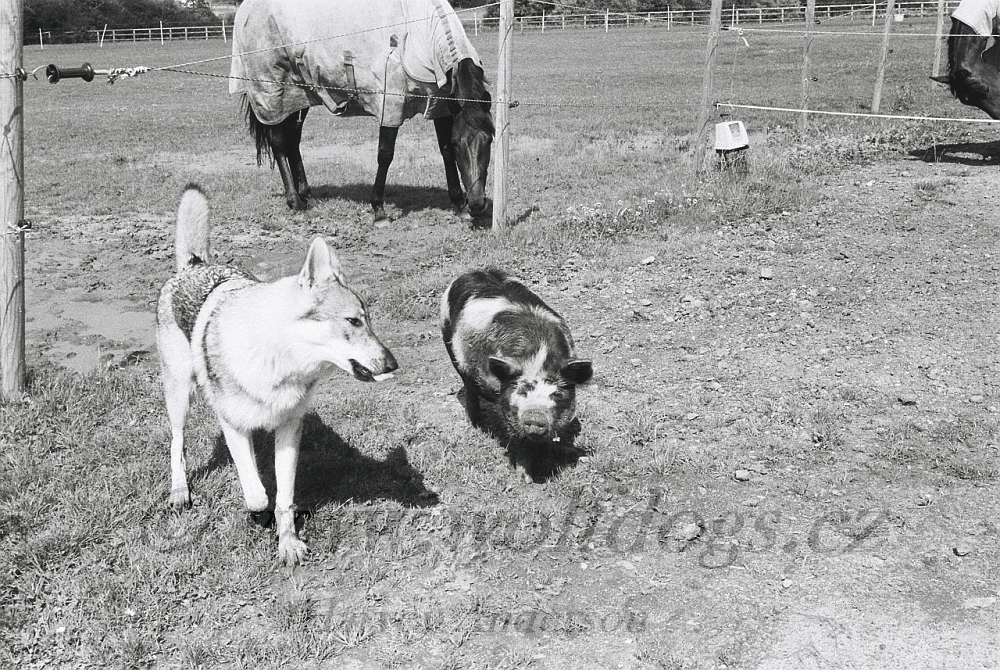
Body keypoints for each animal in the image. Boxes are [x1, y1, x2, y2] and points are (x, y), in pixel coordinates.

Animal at [229, 0, 488, 219]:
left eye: (489, 141)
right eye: (460, 145)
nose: (477, 204)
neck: (419, 34)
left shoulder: (439, 105)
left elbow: (444, 151)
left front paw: (458, 203)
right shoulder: (390, 105)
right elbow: (385, 154)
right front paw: (379, 210)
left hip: (296, 100)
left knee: (293, 143)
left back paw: (306, 195)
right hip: (272, 95)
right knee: (279, 143)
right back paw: (294, 200)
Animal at [440, 268, 592, 484]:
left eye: (556, 393)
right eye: (522, 390)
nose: (535, 415)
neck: (538, 359)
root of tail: (469, 273)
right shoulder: (507, 405)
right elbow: (519, 439)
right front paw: (526, 479)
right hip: (449, 343)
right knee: (468, 386)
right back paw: (475, 424)